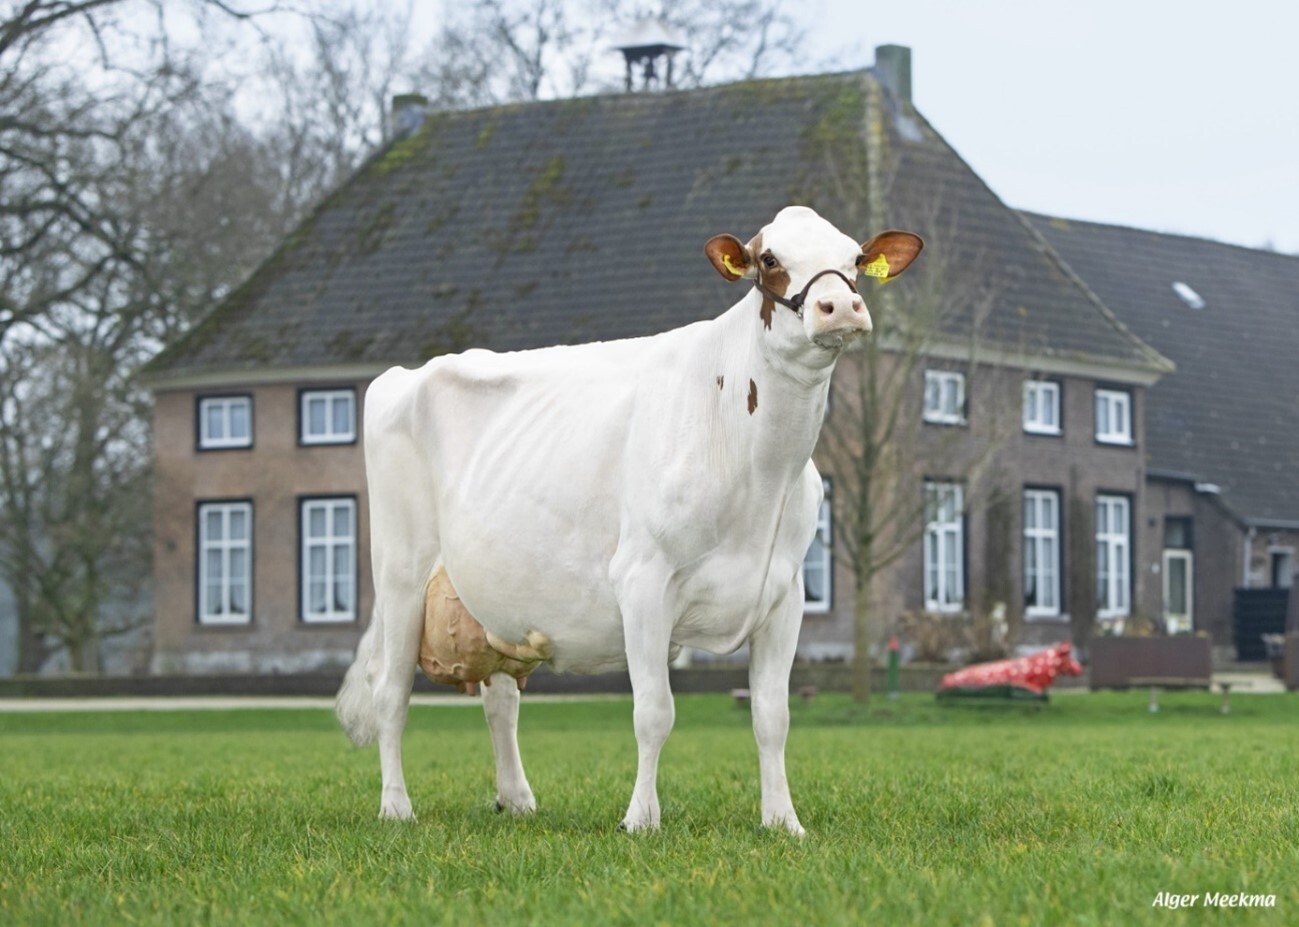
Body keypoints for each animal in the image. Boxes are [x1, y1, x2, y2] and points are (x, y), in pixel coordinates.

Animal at [340, 207, 919, 830]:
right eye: (769, 259)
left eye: (854, 258)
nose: (841, 307)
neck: (761, 473)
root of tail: (405, 374)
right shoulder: (643, 579)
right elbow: (654, 712)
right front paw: (641, 819)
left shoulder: (785, 594)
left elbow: (773, 716)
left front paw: (782, 821)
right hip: (400, 571)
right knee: (391, 691)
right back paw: (396, 807)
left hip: (492, 601)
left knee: (500, 698)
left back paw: (516, 799)